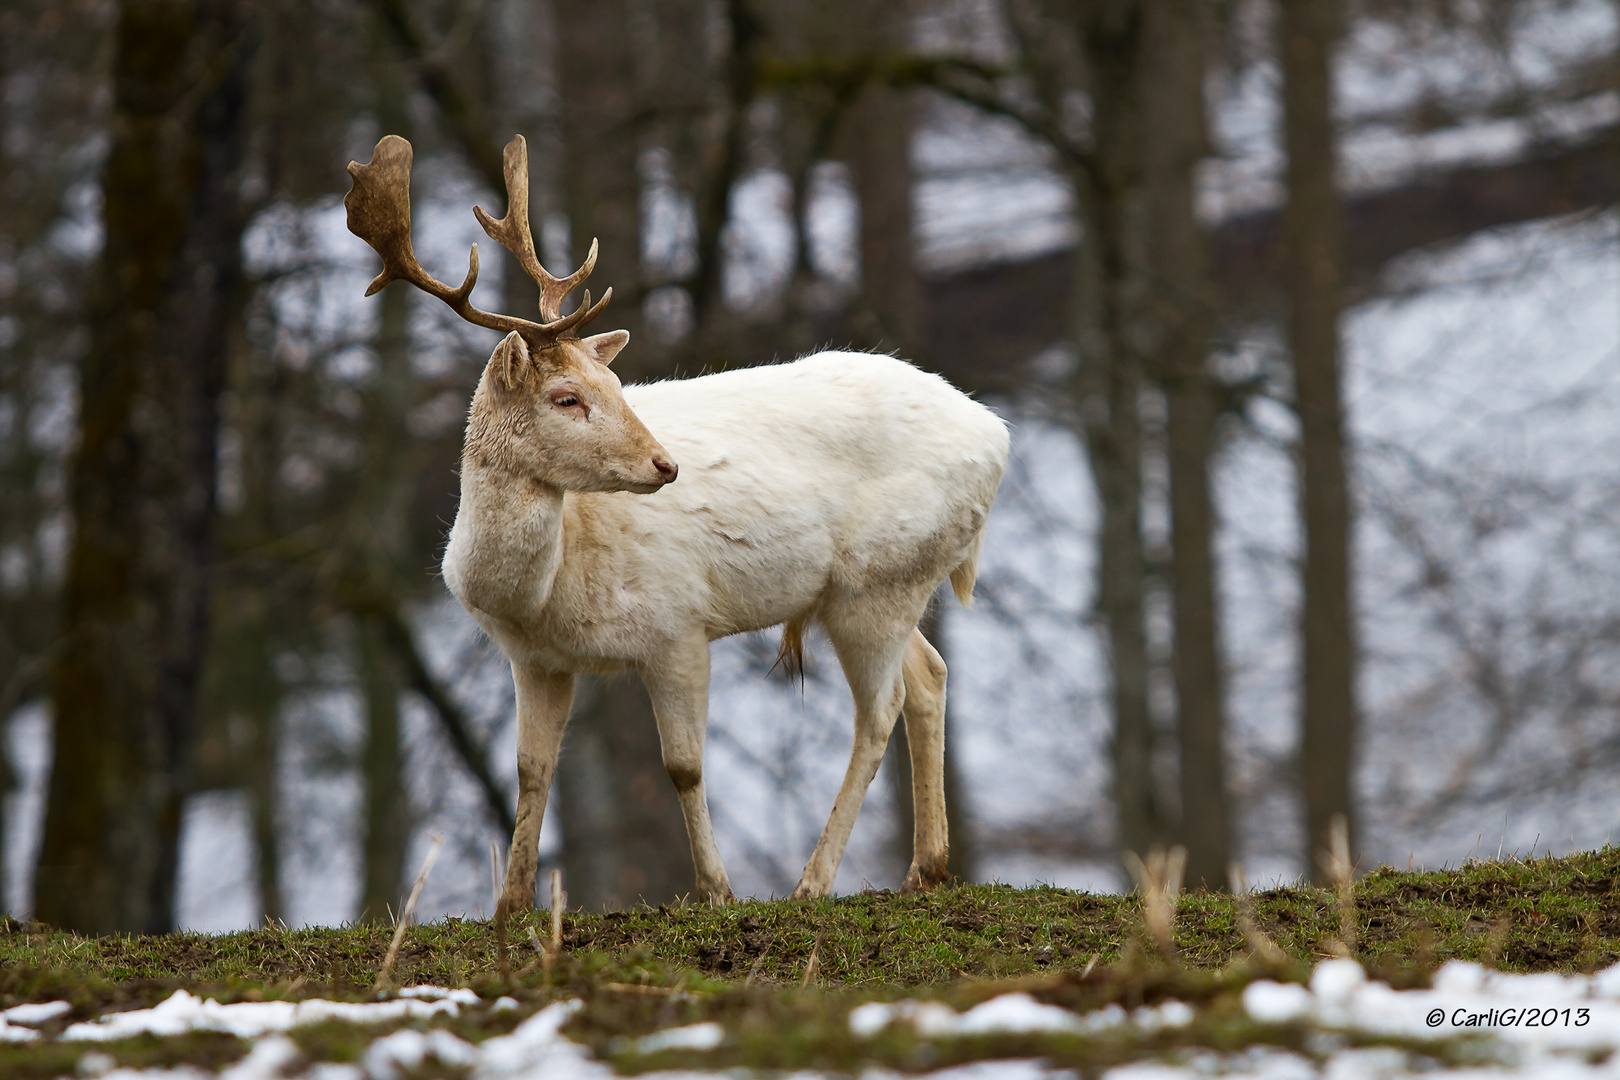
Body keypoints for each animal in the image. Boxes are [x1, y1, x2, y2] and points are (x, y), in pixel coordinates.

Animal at [346, 135, 1004, 913]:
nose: (664, 464)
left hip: (879, 581)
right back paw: (924, 869)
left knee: (879, 711)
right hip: (875, 587)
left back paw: (811, 883)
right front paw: (510, 907)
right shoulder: (534, 659)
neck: (540, 595)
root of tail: (997, 436)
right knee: (929, 675)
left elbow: (684, 765)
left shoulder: (677, 627)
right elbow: (532, 769)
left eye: (613, 384)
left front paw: (716, 891)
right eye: (567, 396)